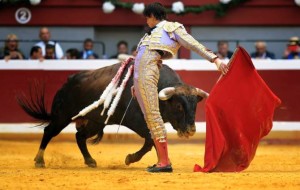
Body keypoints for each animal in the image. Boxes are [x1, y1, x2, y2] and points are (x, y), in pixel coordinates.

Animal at [17, 60, 209, 168]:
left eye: (195, 106)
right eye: (178, 106)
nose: (191, 129)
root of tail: (69, 82)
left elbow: (155, 140)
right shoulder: (138, 122)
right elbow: (150, 140)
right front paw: (131, 158)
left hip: (96, 122)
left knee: (80, 136)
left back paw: (90, 161)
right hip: (63, 115)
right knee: (49, 131)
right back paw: (39, 160)